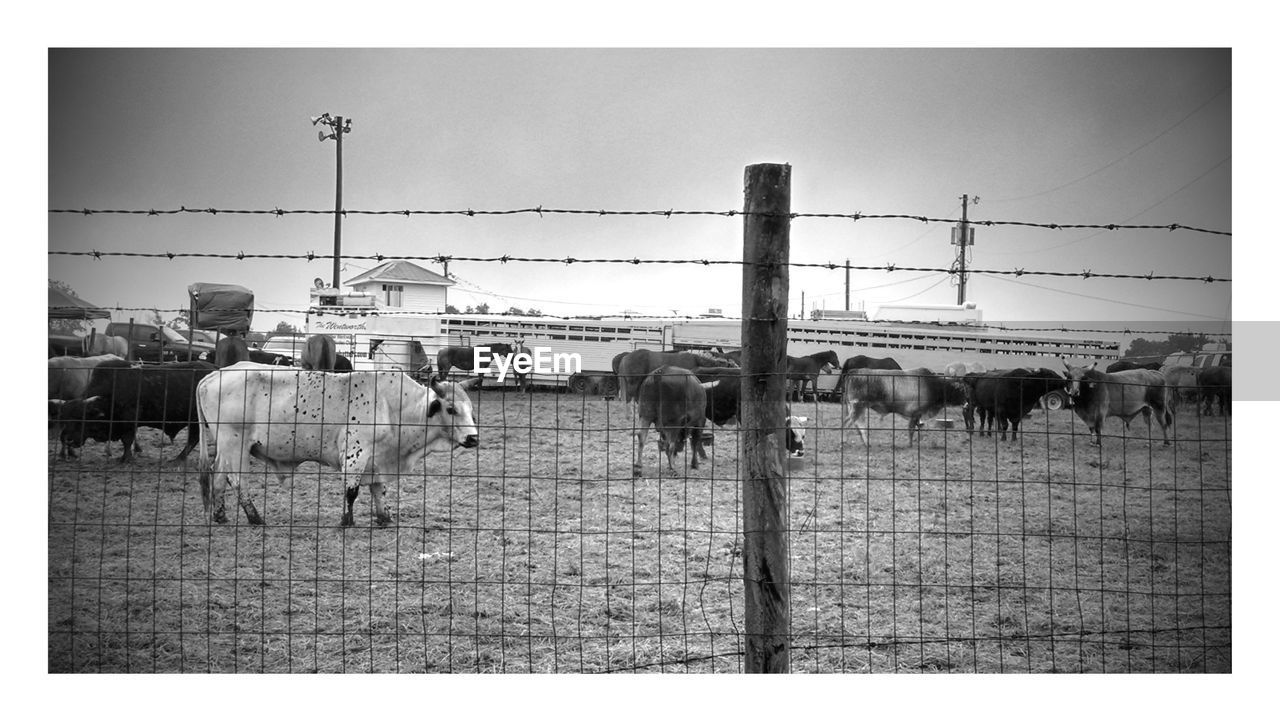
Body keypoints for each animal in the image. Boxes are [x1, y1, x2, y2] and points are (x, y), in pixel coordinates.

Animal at [50, 358, 215, 463]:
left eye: (82, 418)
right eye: (64, 418)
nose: (68, 439)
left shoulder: (129, 421)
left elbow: (127, 440)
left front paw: (126, 458)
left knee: (194, 438)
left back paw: (180, 458)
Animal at [197, 366, 481, 525]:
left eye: (471, 410)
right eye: (451, 409)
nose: (473, 438)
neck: (393, 406)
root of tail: (211, 376)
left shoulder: (377, 460)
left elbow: (379, 490)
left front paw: (385, 518)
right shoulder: (355, 454)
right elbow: (351, 491)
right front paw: (347, 521)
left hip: (225, 447)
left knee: (219, 476)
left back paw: (220, 515)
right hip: (235, 444)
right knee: (237, 480)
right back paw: (255, 518)